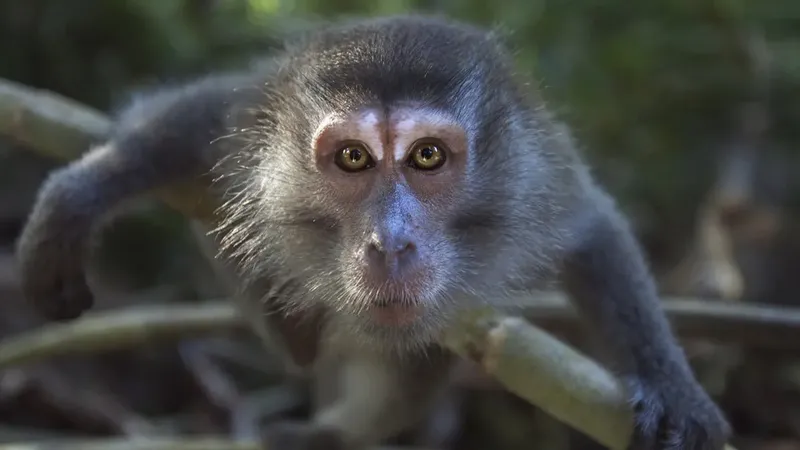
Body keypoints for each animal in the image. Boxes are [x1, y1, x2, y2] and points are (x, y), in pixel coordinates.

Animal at [14, 14, 731, 450]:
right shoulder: (254, 124)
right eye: (353, 158)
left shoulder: (535, 169)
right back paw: (293, 330)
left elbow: (593, 230)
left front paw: (671, 386)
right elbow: (184, 120)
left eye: (428, 157)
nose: (389, 244)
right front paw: (76, 196)